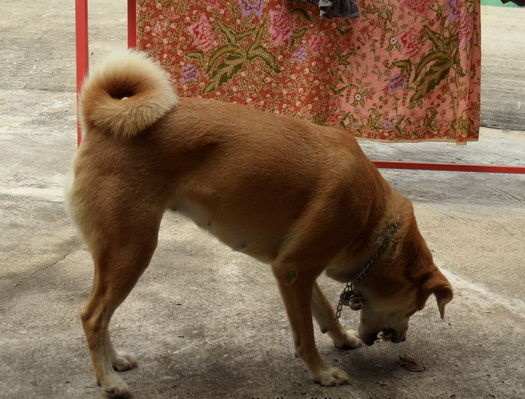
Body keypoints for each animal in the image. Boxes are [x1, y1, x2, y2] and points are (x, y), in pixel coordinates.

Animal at [64, 51, 450, 398]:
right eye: (415, 308)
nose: (402, 338)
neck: (373, 219)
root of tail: (99, 122)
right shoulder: (294, 270)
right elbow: (305, 335)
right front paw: (321, 373)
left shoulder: (297, 269)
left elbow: (324, 311)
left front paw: (341, 338)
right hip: (132, 250)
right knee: (93, 316)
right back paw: (109, 381)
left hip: (115, 254)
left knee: (99, 312)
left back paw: (114, 361)